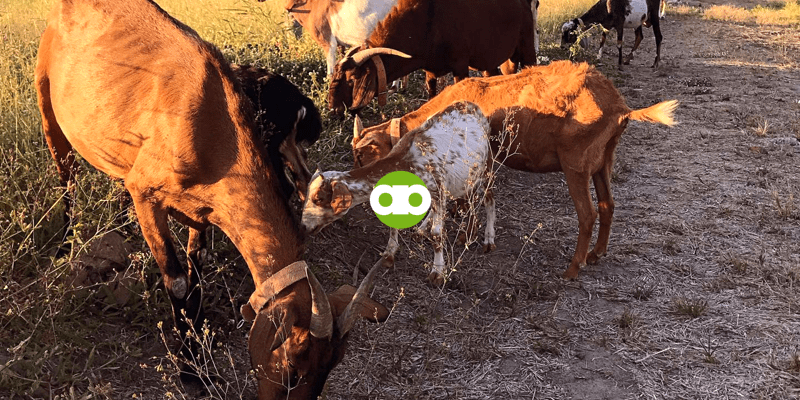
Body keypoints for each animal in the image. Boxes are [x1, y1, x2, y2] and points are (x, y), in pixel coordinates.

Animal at [36, 1, 388, 398]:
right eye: (292, 368)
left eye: (331, 367)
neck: (215, 132)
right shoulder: (145, 194)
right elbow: (177, 281)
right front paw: (190, 372)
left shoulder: (204, 211)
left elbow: (198, 270)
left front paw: (200, 356)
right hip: (47, 99)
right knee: (66, 175)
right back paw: (68, 243)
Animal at [302, 102, 492, 285]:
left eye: (318, 198)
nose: (303, 226)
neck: (406, 162)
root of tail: (470, 106)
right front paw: (389, 254)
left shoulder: (438, 190)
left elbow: (437, 234)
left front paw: (438, 273)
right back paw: (423, 230)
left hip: (483, 169)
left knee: (488, 197)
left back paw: (487, 239)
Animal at [327, 0, 538, 116]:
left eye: (353, 78)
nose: (333, 109)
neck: (428, 21)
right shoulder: (430, 70)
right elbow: (431, 96)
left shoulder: (460, 67)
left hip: (527, 47)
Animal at [351, 61, 678, 279]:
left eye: (364, 154)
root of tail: (620, 108)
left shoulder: (480, 158)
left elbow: (473, 197)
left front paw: (469, 236)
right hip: (603, 161)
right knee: (608, 205)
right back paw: (596, 254)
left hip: (576, 164)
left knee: (588, 214)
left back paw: (573, 268)